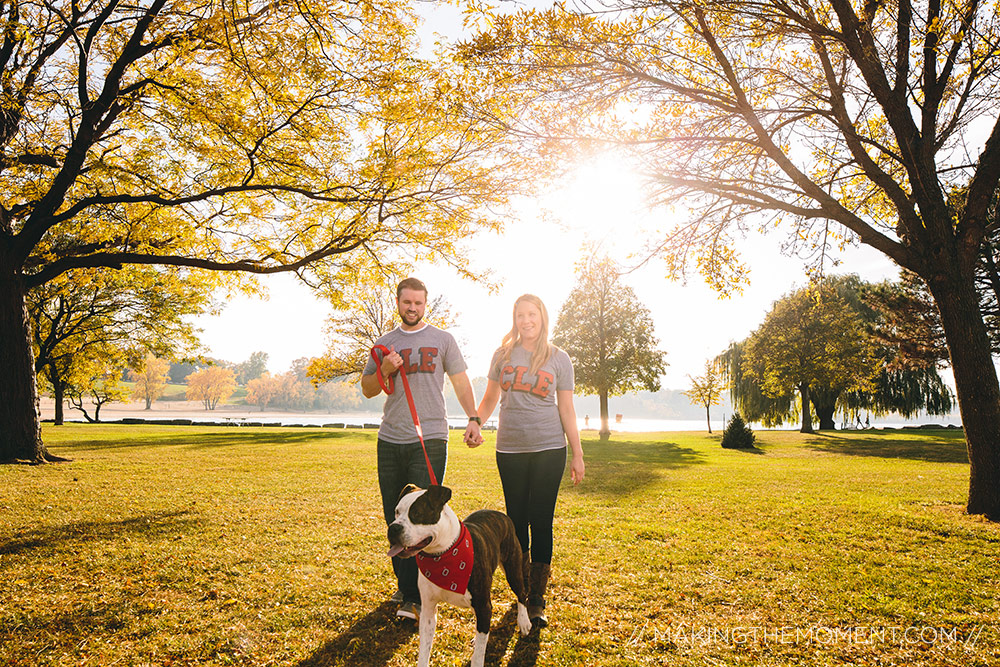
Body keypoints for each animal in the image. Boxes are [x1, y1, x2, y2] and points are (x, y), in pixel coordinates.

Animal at [386, 486, 536, 667]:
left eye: (417, 513)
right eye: (396, 512)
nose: (393, 528)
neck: (443, 554)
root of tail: (502, 515)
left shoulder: (483, 605)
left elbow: (478, 656)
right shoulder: (428, 610)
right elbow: (424, 649)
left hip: (512, 570)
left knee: (521, 593)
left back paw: (524, 622)